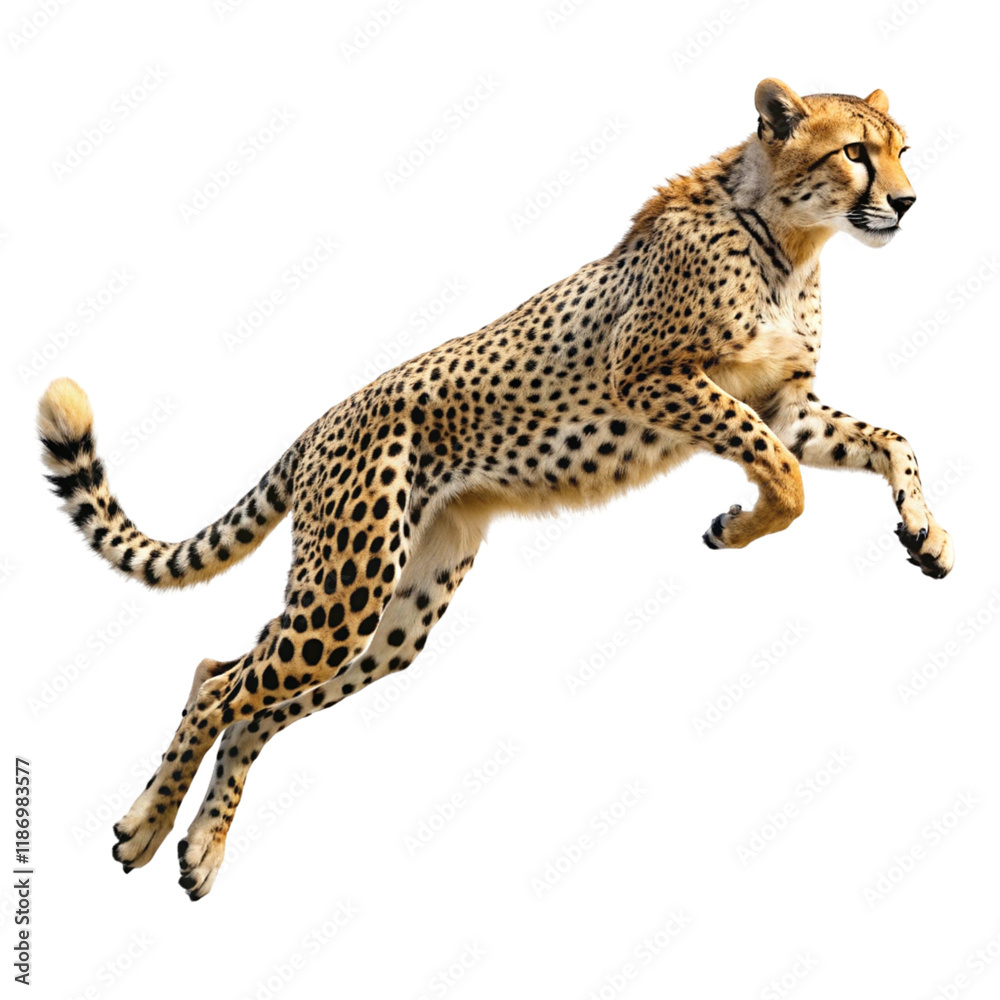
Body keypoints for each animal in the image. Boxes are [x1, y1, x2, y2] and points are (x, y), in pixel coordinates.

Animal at [37, 79, 953, 900]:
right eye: (855, 153)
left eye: (904, 150)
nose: (908, 203)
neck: (792, 239)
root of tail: (322, 422)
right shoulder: (652, 377)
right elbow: (788, 481)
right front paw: (736, 525)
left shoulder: (785, 407)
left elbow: (888, 442)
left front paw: (926, 534)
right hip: (348, 587)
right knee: (220, 686)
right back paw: (144, 826)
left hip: (396, 614)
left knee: (243, 688)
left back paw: (200, 847)